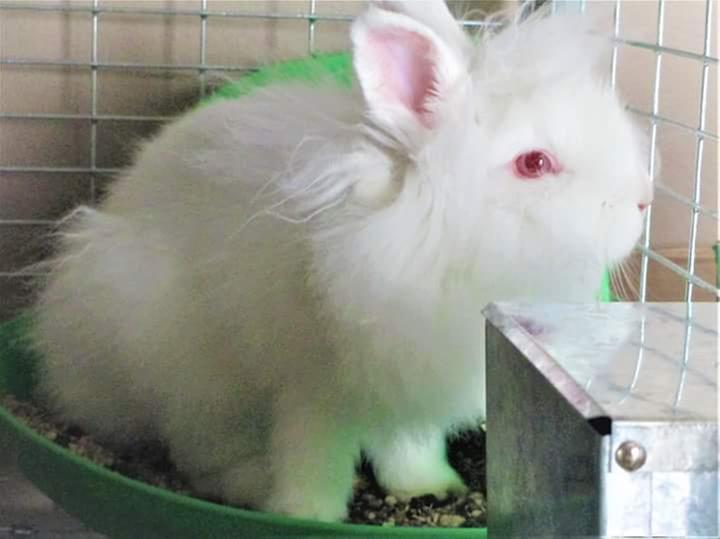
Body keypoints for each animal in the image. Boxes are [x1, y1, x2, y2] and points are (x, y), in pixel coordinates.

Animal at [30, 0, 654, 522]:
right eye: (534, 163)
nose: (643, 202)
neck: (441, 241)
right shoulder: (313, 388)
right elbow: (313, 457)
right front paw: (306, 515)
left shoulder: (406, 390)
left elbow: (409, 443)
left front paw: (427, 487)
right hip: (175, 356)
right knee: (200, 447)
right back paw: (247, 485)